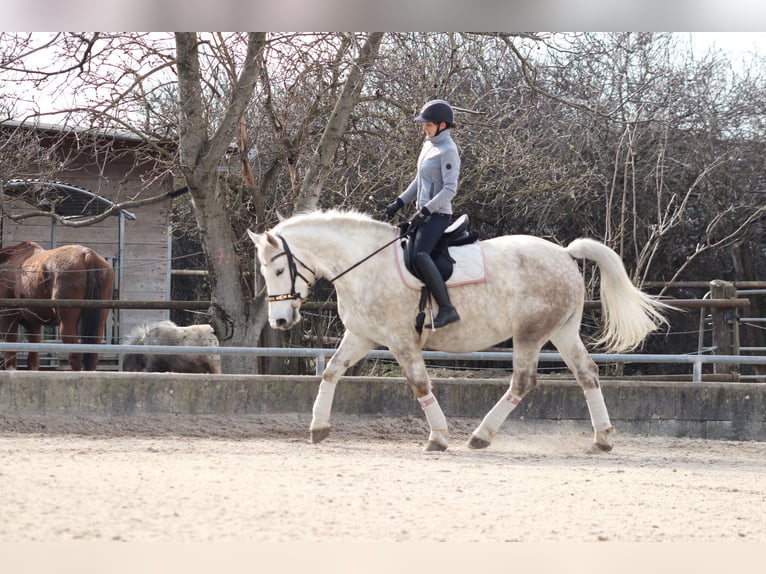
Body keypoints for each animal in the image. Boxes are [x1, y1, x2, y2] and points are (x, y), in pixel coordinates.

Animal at [0, 241, 115, 372]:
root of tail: (87, 254)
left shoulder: (8, 318)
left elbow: (11, 360)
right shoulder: (34, 325)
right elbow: (33, 361)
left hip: (66, 324)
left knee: (75, 357)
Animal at [249, 210, 668, 454]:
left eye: (280, 269)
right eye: (266, 271)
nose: (281, 321)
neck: (364, 265)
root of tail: (565, 254)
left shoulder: (401, 340)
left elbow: (419, 384)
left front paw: (437, 437)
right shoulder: (362, 336)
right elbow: (332, 372)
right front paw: (318, 428)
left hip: (529, 335)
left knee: (523, 382)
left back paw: (480, 435)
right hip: (562, 332)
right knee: (587, 374)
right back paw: (602, 438)